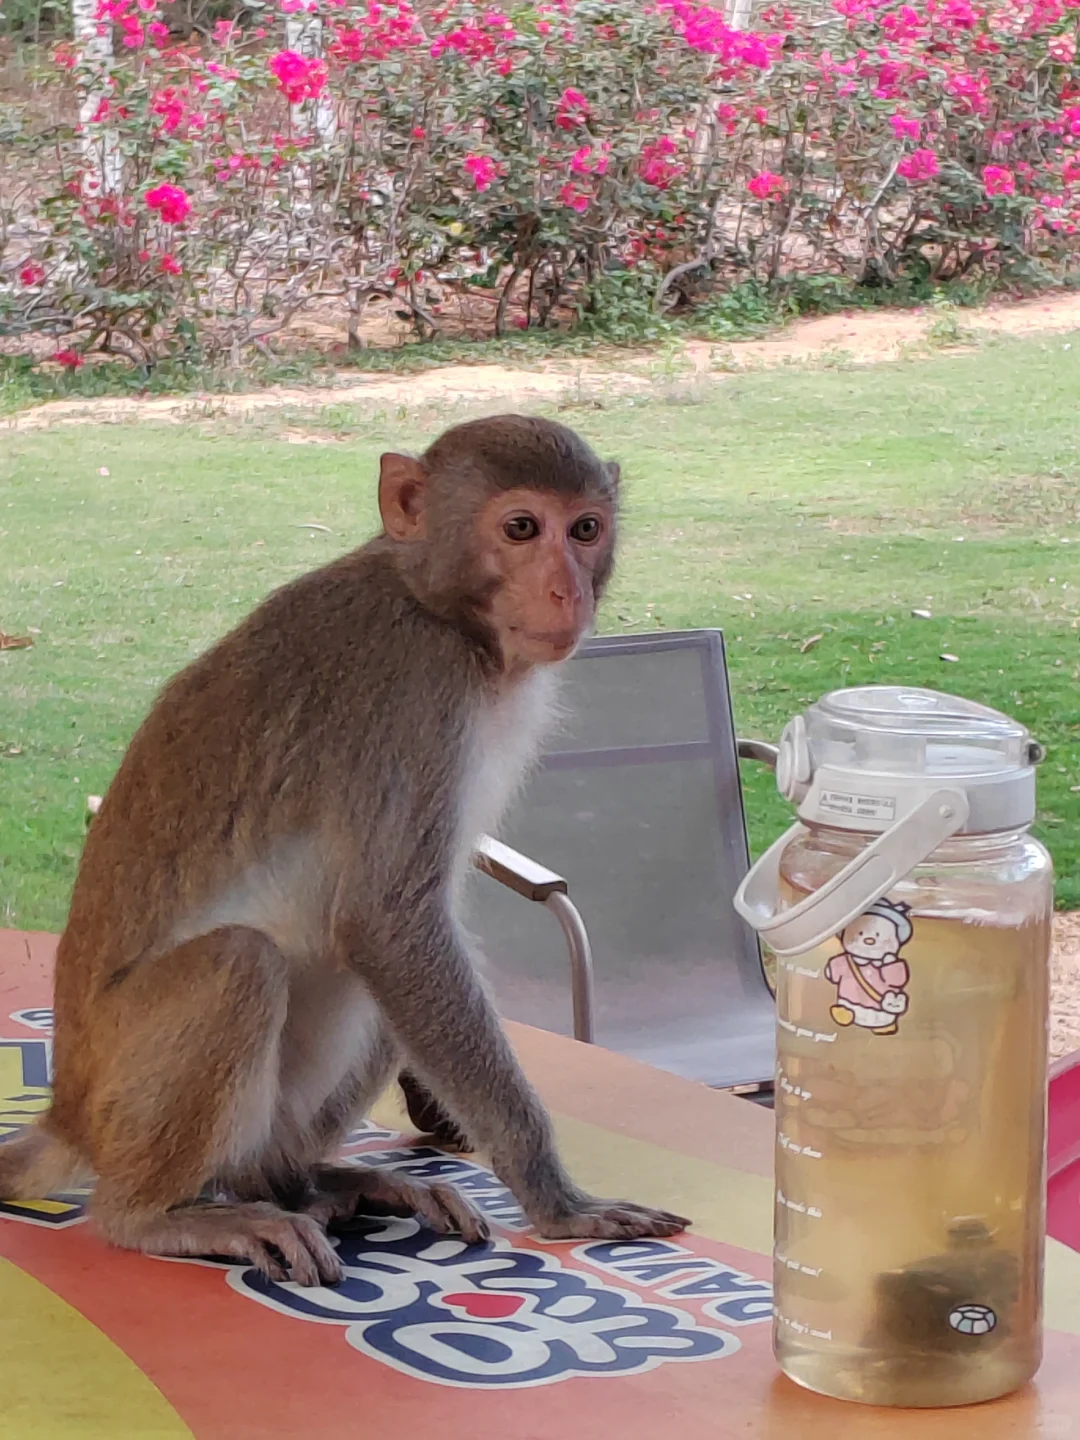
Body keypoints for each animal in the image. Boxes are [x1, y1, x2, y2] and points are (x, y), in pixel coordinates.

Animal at [0, 414, 689, 1287]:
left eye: (586, 529)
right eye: (522, 529)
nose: (568, 589)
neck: (437, 607)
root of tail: (67, 1111)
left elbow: (400, 939)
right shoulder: (418, 690)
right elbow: (389, 925)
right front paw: (558, 1200)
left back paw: (303, 1180)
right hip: (123, 1099)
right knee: (243, 963)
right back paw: (154, 1216)